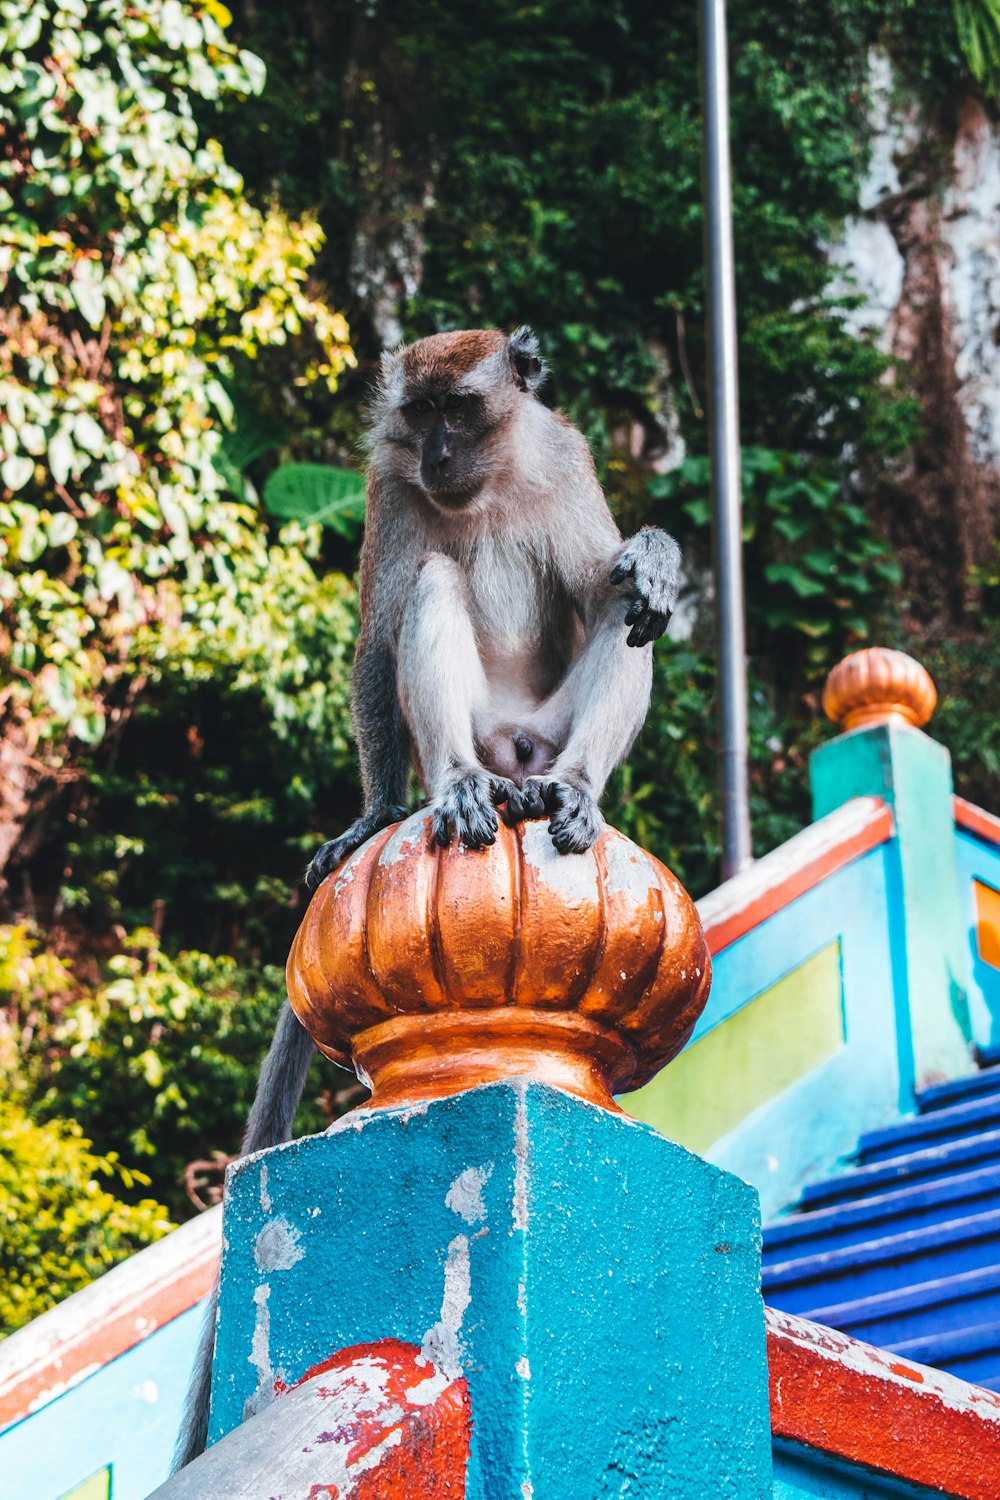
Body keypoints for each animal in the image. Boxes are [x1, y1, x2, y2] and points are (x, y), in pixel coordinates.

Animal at [176, 325, 683, 1464]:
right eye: (420, 417)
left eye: (464, 409)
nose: (439, 456)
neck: (486, 482)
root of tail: (511, 759)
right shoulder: (384, 483)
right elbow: (381, 625)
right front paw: (373, 809)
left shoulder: (567, 458)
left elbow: (610, 586)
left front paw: (659, 555)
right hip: (480, 731)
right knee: (434, 586)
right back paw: (445, 787)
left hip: (543, 730)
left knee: (618, 620)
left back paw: (572, 790)